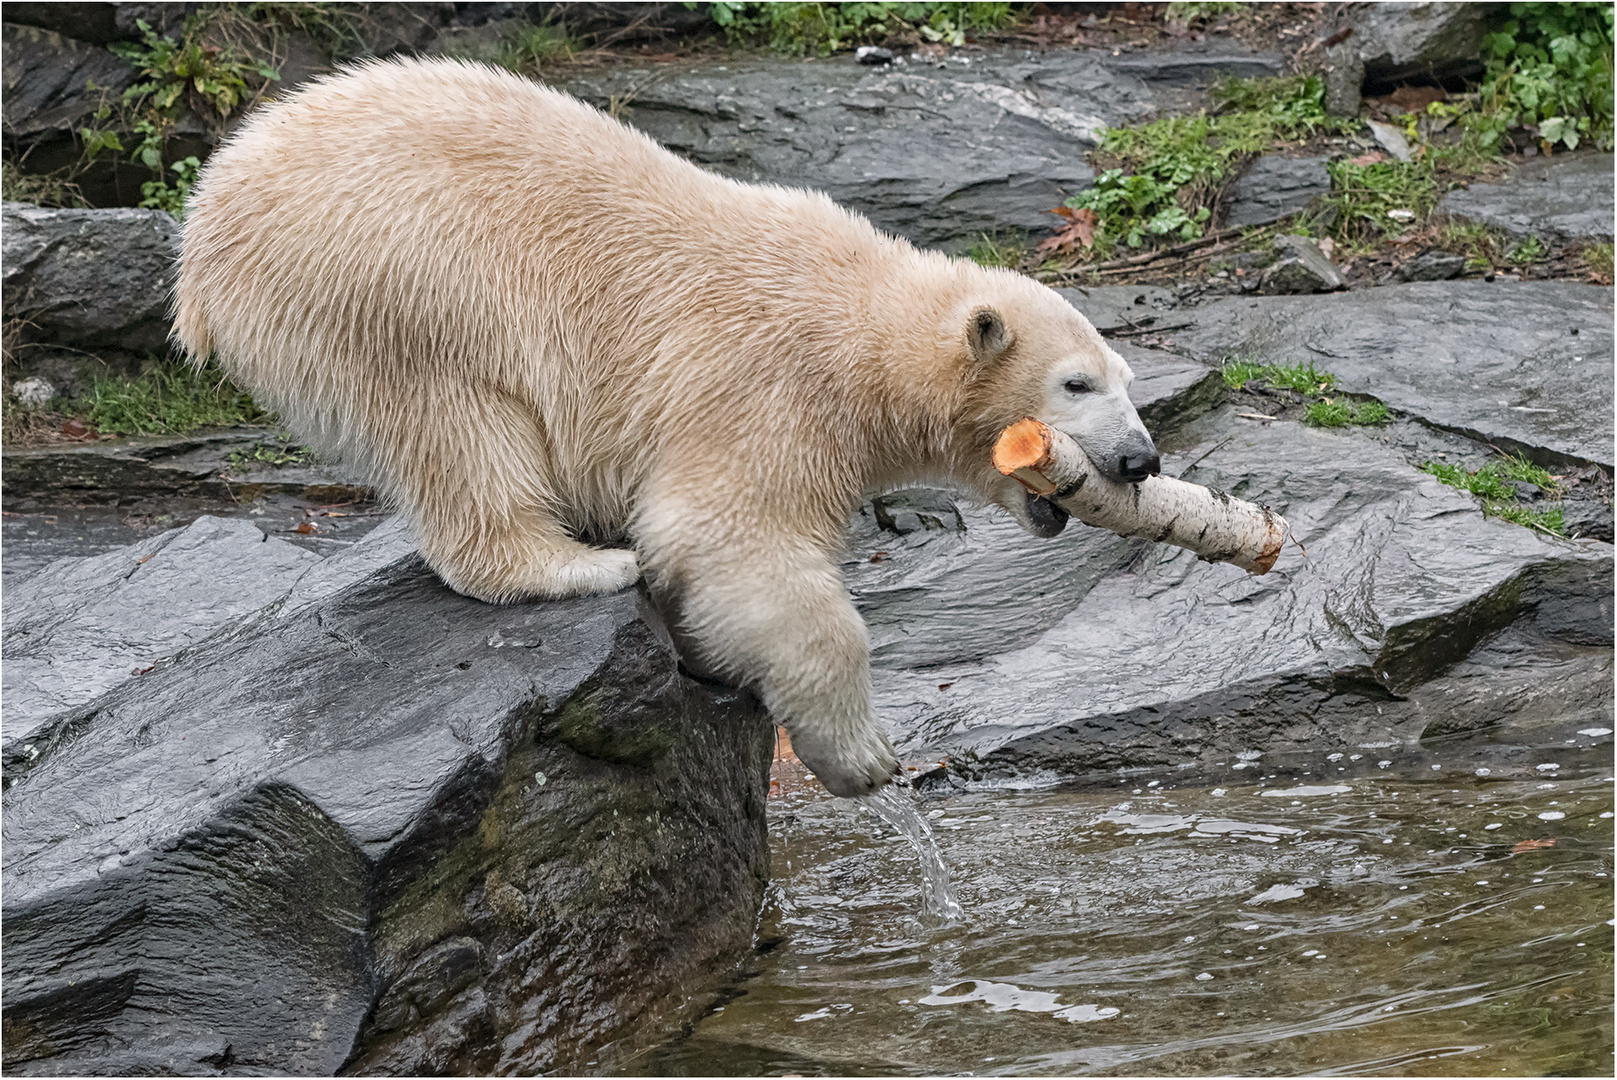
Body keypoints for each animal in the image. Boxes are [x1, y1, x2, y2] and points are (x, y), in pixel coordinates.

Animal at [173, 61, 1164, 801]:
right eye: (1075, 382)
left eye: (1126, 381)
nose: (1141, 458)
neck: (862, 325)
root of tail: (207, 230)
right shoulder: (763, 388)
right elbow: (728, 538)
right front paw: (861, 755)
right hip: (394, 270)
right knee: (458, 420)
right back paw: (575, 564)